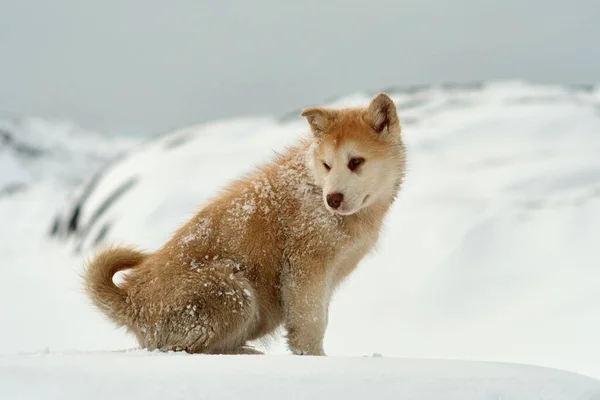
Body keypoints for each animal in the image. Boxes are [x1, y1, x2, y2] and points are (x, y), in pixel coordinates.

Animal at [82, 94, 406, 356]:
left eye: (356, 161)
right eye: (327, 164)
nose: (333, 199)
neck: (314, 188)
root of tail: (131, 300)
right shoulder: (305, 268)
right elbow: (311, 322)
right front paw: (313, 359)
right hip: (234, 291)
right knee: (182, 349)